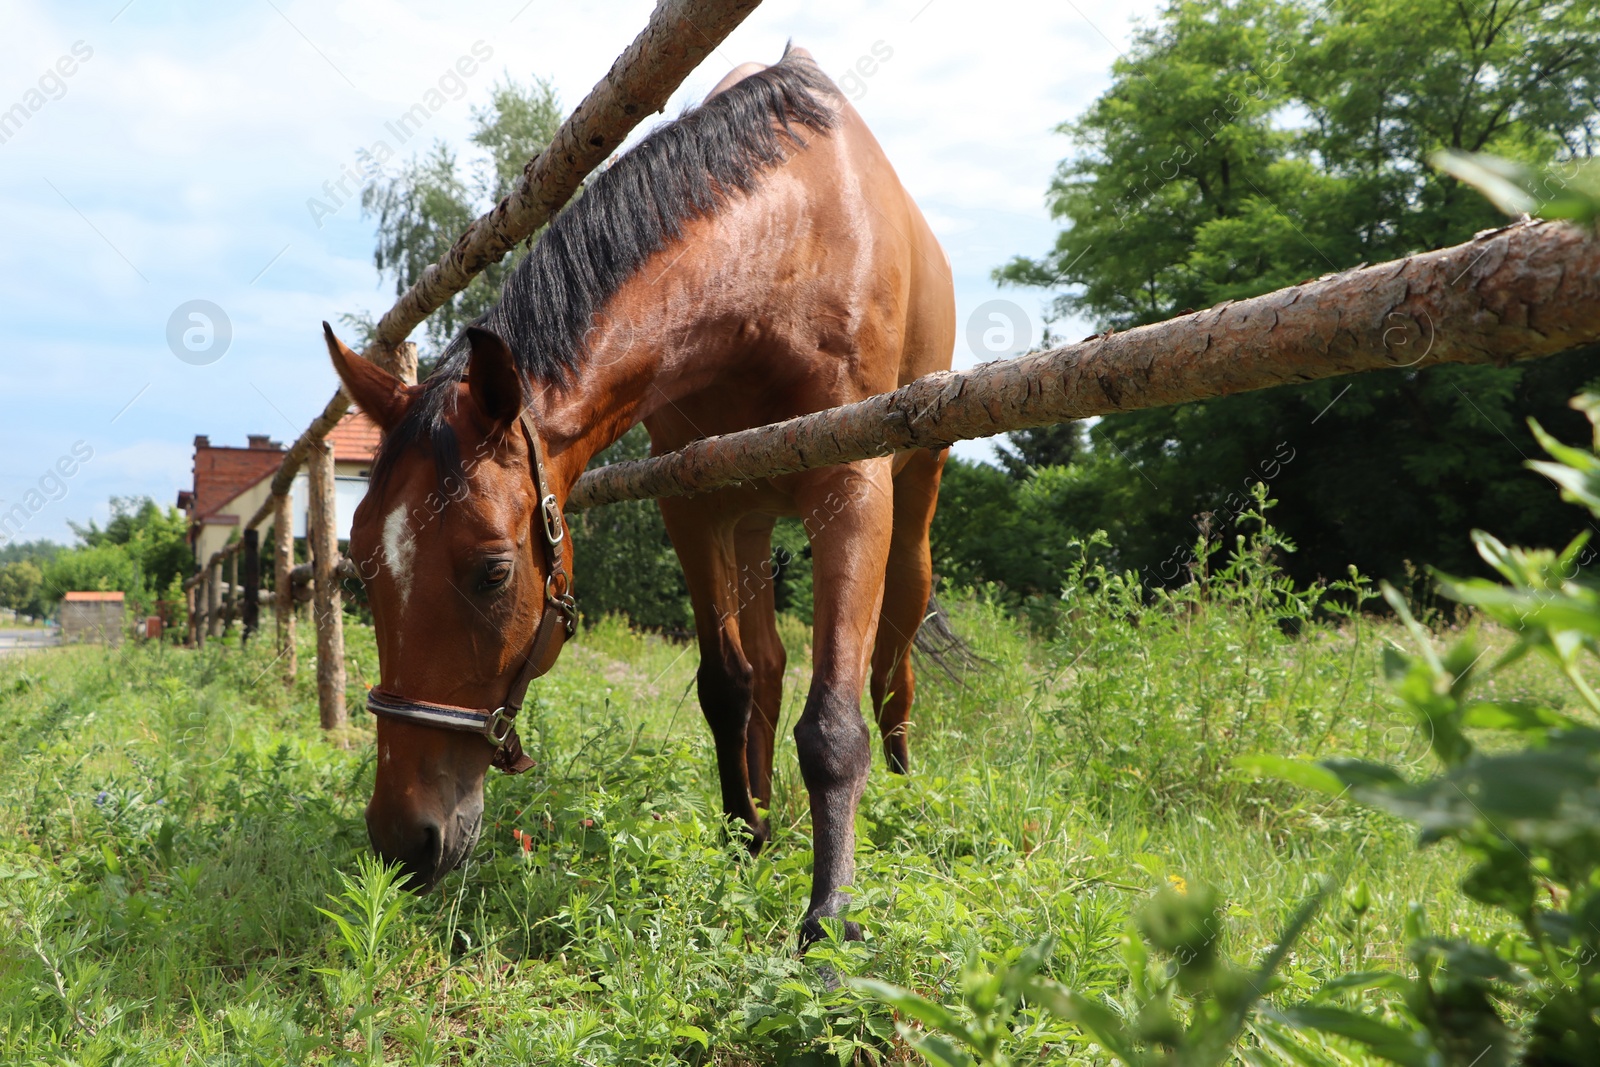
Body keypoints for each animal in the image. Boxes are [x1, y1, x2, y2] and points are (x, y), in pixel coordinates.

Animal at [321, 47, 947, 940]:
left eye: (492, 572)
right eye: (364, 565)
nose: (403, 839)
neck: (789, 241)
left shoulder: (850, 482)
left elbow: (832, 717)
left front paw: (830, 915)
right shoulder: (692, 500)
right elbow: (726, 686)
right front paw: (744, 842)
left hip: (913, 488)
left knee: (894, 649)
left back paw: (900, 779)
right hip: (749, 519)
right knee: (768, 665)